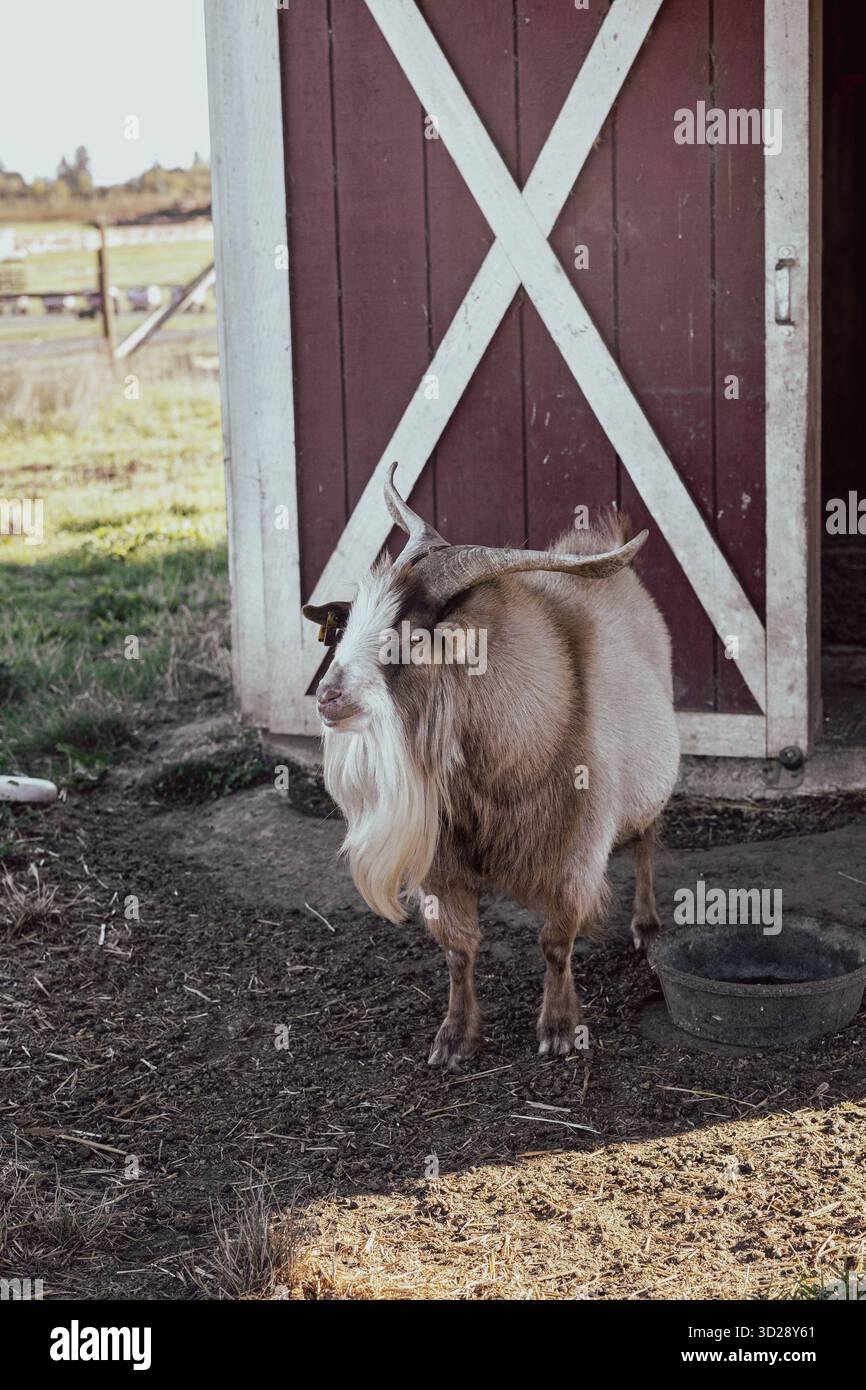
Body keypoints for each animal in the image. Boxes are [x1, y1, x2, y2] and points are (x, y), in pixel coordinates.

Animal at [302, 465, 680, 1067]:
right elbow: (459, 951)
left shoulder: (575, 853)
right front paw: (454, 1038)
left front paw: (558, 1028)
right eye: (348, 624)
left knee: (646, 841)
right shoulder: (443, 867)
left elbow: (555, 943)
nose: (328, 697)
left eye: (412, 637)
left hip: (650, 788)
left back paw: (646, 925)